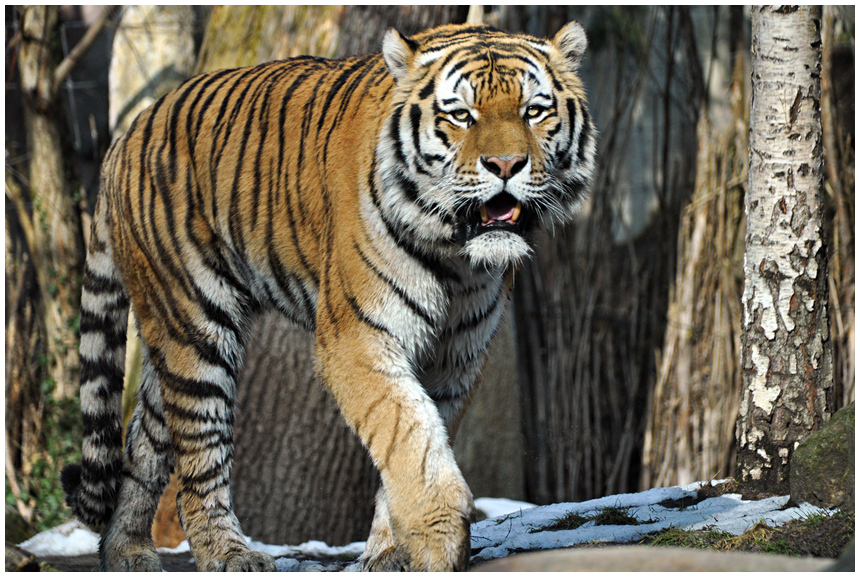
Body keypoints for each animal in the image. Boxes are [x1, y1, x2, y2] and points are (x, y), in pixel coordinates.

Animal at [60, 20, 596, 568]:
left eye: (534, 110)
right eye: (460, 115)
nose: (505, 164)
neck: (456, 257)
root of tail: (128, 132)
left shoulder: (456, 354)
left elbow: (420, 437)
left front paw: (391, 553)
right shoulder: (357, 338)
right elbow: (407, 435)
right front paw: (437, 536)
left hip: (170, 338)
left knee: (143, 446)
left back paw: (127, 552)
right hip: (196, 330)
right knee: (199, 457)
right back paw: (229, 554)